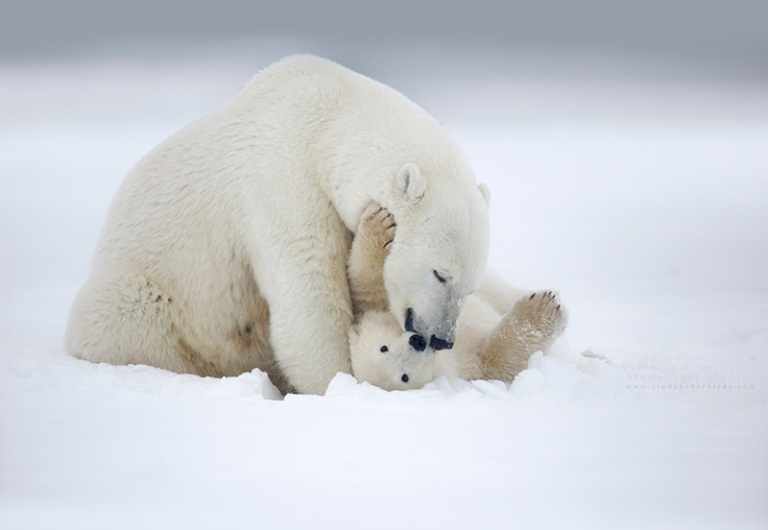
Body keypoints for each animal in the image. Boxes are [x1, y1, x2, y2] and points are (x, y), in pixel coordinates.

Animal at [66, 55, 504, 392]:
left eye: (468, 286)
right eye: (440, 273)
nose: (441, 338)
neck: (329, 121)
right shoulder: (284, 182)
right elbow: (309, 293)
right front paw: (339, 382)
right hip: (147, 297)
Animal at [344, 204, 568, 390]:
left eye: (383, 347)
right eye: (404, 377)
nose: (418, 342)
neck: (445, 356)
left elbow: (368, 283)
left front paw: (380, 223)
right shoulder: (468, 367)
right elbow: (499, 360)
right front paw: (543, 309)